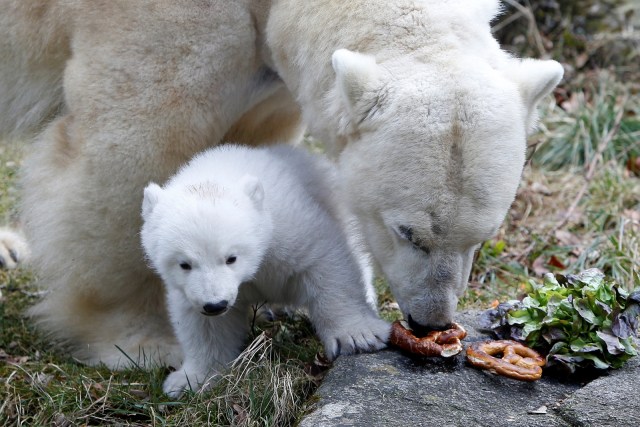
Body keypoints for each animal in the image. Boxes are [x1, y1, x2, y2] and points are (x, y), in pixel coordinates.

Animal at [0, 0, 560, 368]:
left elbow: (249, 143)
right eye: (407, 232)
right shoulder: (161, 22)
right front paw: (141, 342)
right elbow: (133, 151)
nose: (430, 322)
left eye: (481, 238)